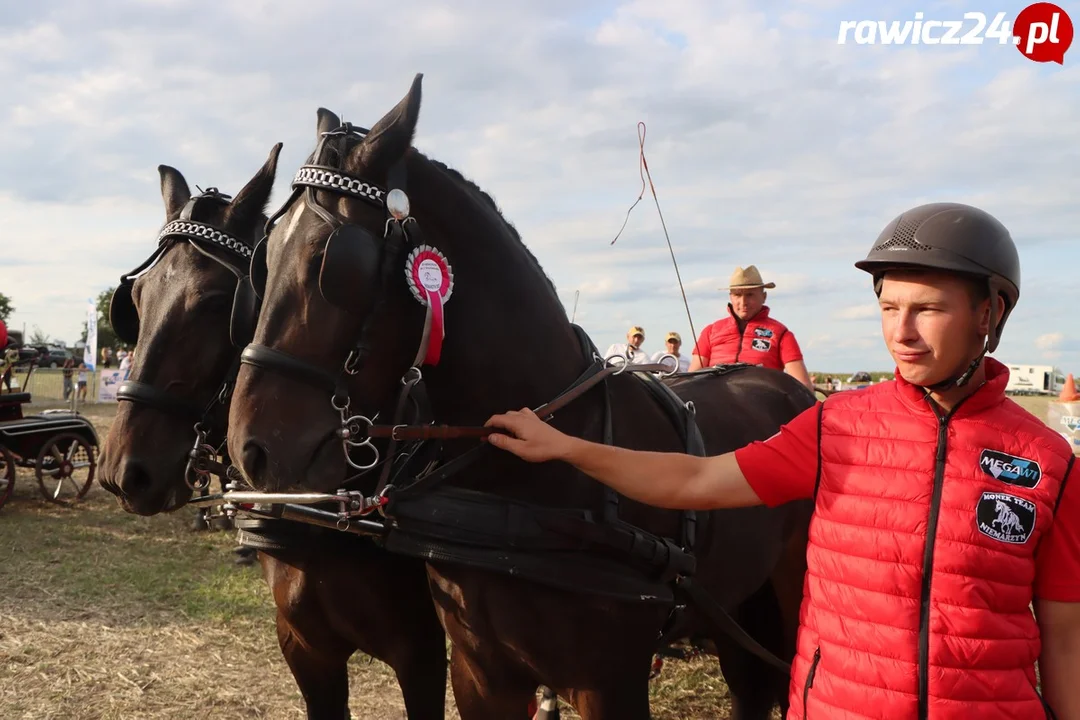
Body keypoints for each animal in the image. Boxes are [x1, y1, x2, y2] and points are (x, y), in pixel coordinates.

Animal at [232, 76, 812, 716]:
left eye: (332, 263)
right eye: (262, 261)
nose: (251, 450)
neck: (525, 485)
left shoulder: (609, 682)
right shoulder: (481, 674)